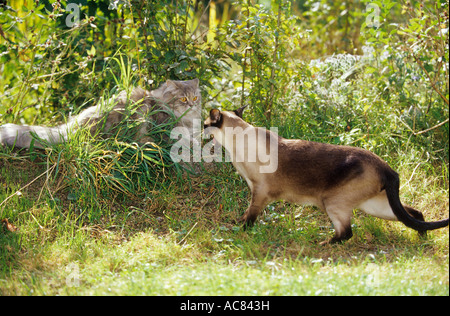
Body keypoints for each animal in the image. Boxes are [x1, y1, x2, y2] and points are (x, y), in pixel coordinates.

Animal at [205, 106, 450, 244]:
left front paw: (240, 231)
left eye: (206, 124)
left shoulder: (260, 192)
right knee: (416, 214)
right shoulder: (256, 192)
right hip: (375, 206)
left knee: (347, 233)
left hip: (332, 202)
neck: (235, 147)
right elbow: (246, 215)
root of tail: (388, 168)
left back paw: (322, 244)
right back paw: (422, 238)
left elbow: (250, 217)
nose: (201, 129)